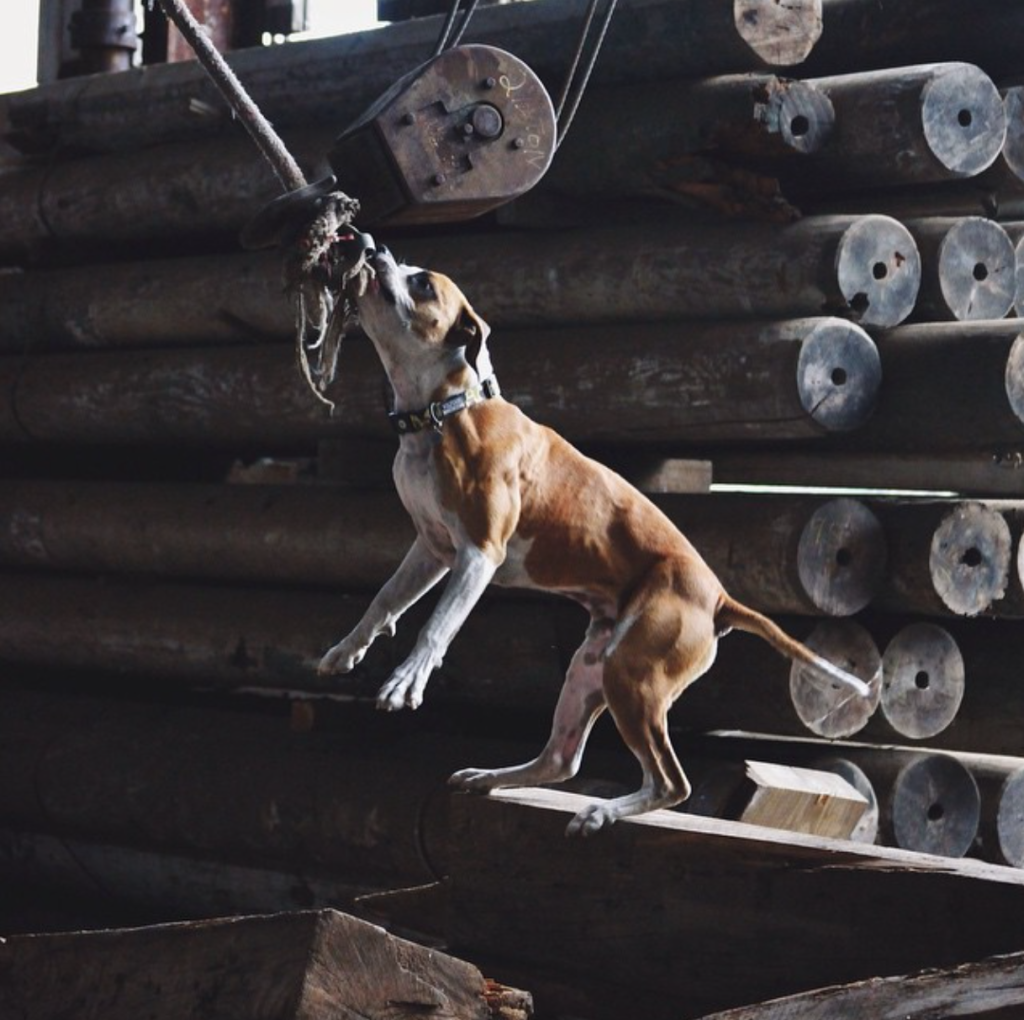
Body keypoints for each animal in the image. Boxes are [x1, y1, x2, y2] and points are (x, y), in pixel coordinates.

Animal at [315, 246, 868, 835]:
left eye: (422, 283)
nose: (372, 248)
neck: (447, 410)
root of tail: (719, 598)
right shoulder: (432, 549)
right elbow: (384, 601)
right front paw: (346, 649)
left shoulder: (478, 556)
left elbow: (437, 626)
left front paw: (406, 681)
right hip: (591, 668)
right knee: (562, 758)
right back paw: (490, 777)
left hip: (633, 675)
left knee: (671, 781)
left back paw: (602, 811)